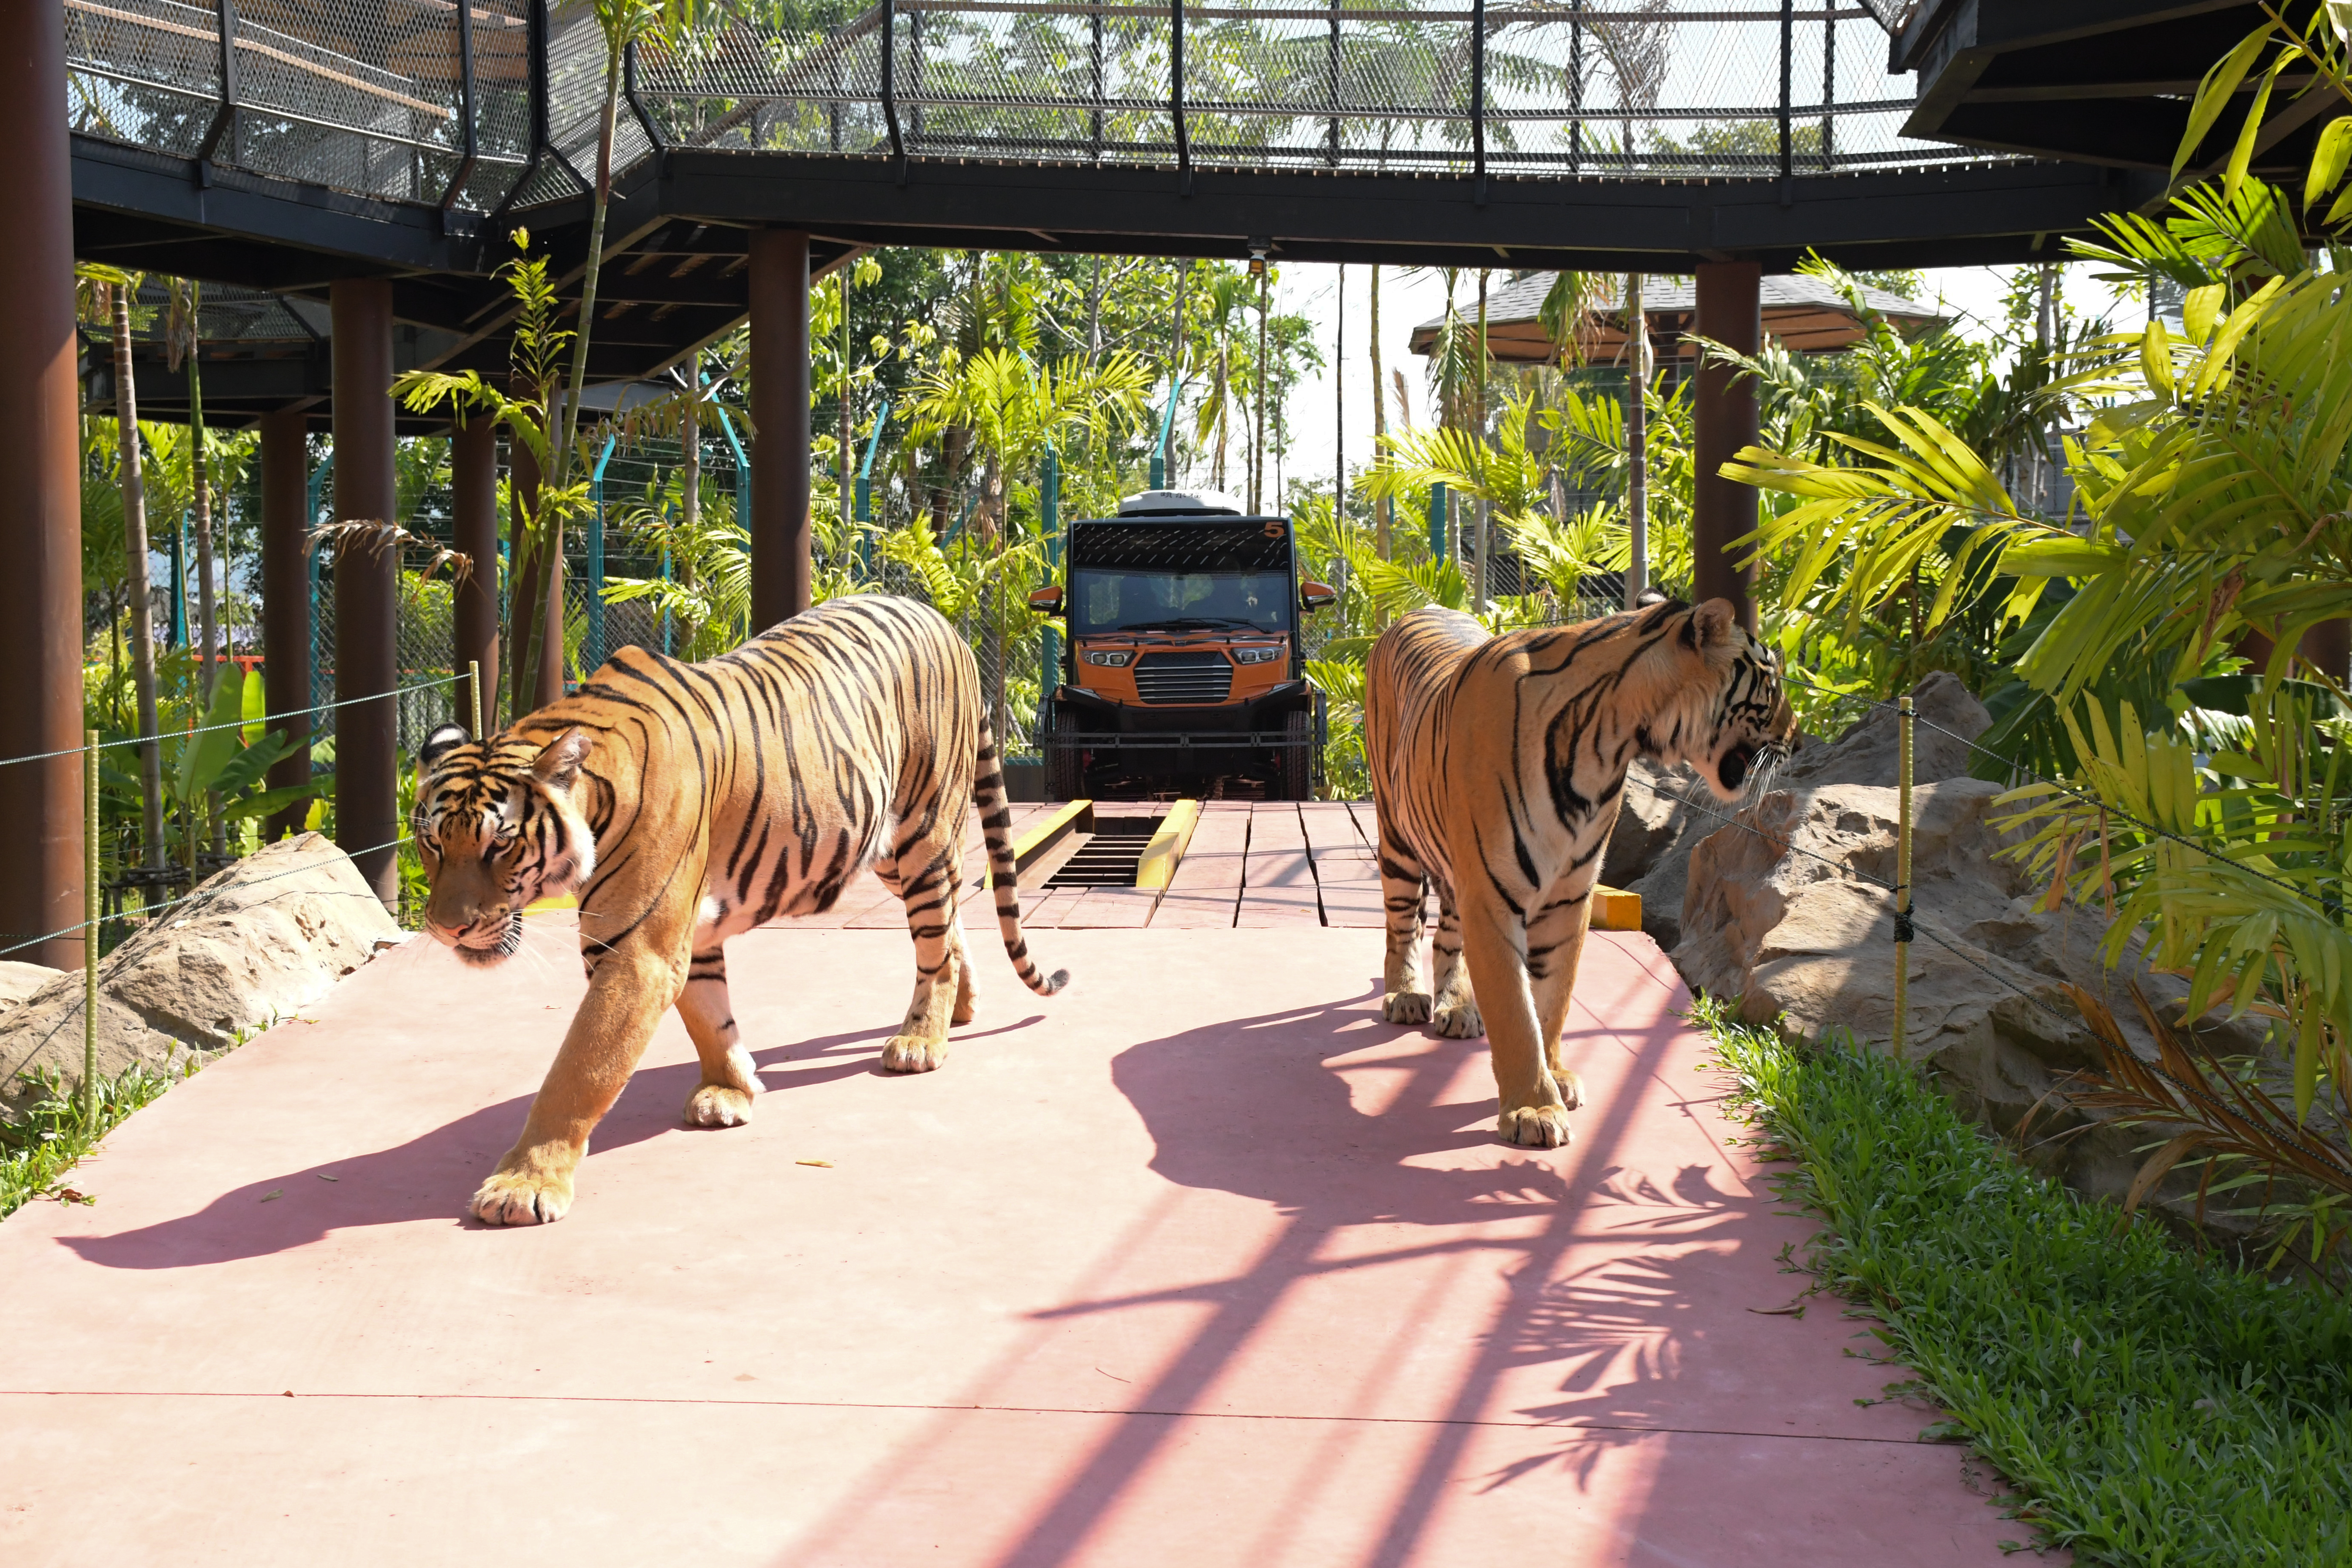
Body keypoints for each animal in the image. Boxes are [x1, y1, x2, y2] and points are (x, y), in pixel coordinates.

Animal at [410, 594, 1068, 1226]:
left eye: (499, 844)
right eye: (433, 842)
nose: (446, 928)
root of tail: (945, 623)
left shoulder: (635, 952)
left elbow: (580, 1070)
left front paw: (524, 1184)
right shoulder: (685, 934)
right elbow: (708, 1016)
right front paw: (731, 1090)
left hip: (924, 829)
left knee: (934, 940)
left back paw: (922, 1039)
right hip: (884, 844)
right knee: (951, 919)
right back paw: (960, 1007)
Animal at [1364, 597, 1795, 1150]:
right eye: (1772, 684)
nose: (1797, 739)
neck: (1609, 743)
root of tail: (1421, 607)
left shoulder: (1569, 896)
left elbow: (1553, 999)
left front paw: (1556, 1076)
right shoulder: (1492, 897)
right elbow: (1516, 1011)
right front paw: (1533, 1108)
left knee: (1445, 936)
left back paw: (1457, 1007)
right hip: (1396, 834)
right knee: (1402, 927)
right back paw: (1405, 994)